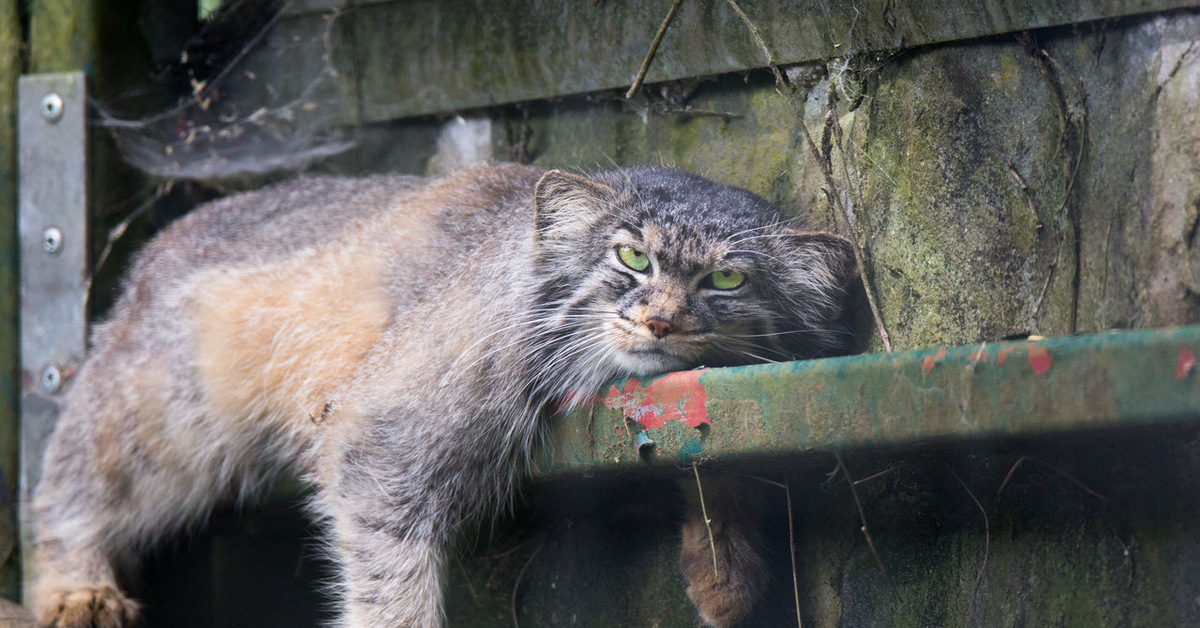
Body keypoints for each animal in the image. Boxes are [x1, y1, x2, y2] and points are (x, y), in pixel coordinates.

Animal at [28, 164, 854, 624]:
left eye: (726, 279)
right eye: (631, 258)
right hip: (165, 417)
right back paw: (75, 586)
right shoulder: (380, 435)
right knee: (62, 490)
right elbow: (391, 578)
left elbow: (717, 448)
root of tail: (158, 246)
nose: (659, 320)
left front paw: (725, 570)